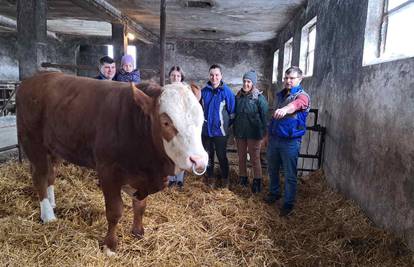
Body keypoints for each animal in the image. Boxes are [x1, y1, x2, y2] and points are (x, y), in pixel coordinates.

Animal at [16, 72, 209, 256]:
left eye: (202, 120)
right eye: (166, 122)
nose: (199, 160)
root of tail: (32, 80)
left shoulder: (141, 175)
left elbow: (140, 207)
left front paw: (138, 232)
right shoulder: (108, 171)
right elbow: (115, 211)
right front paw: (110, 246)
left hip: (55, 147)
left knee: (51, 174)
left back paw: (52, 203)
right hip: (33, 142)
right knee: (40, 176)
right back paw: (48, 214)